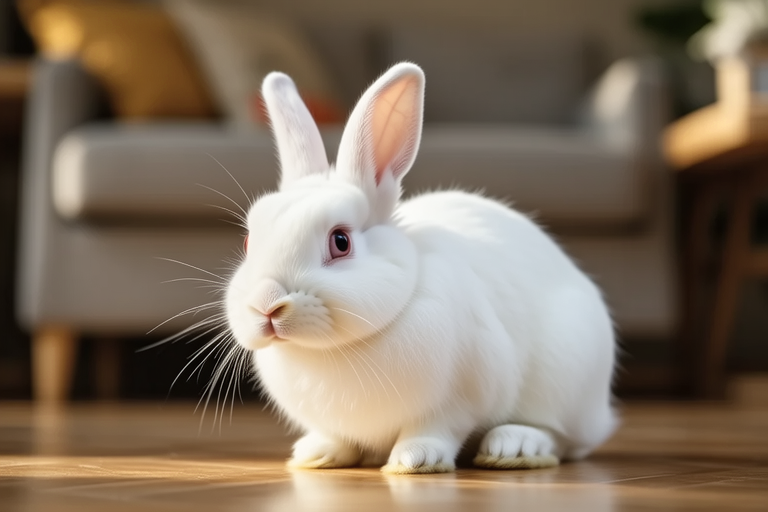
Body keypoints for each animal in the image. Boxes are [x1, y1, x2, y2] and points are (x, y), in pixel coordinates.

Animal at [225, 62, 618, 474]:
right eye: (249, 243)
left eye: (341, 242)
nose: (266, 305)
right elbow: (337, 437)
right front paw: (316, 453)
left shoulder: (460, 398)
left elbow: (436, 429)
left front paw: (416, 459)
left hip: (566, 378)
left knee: (560, 436)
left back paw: (513, 446)